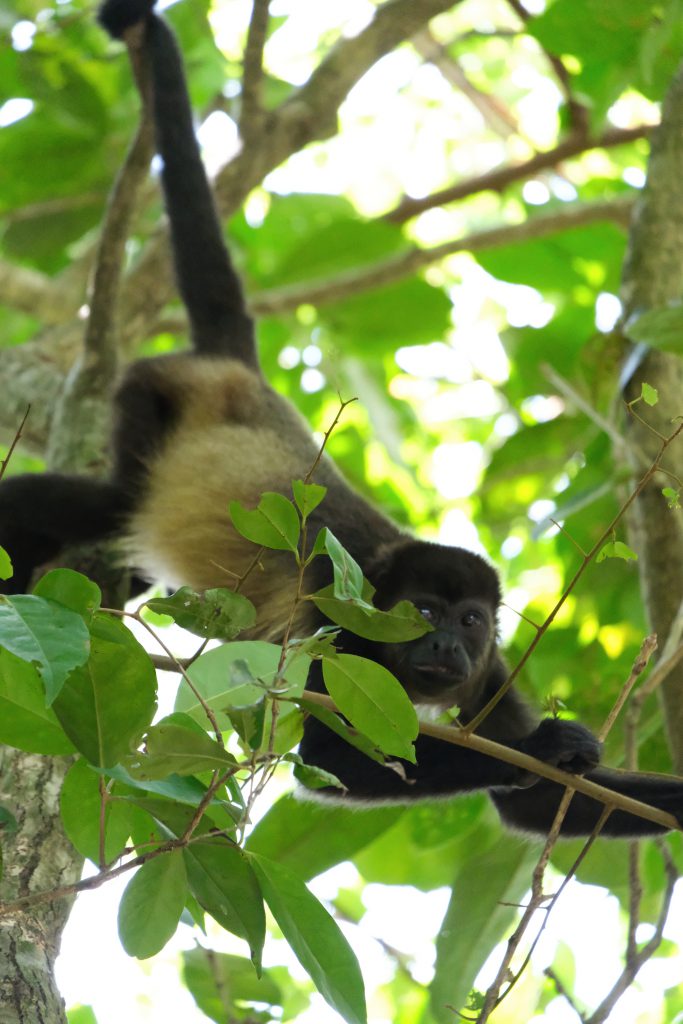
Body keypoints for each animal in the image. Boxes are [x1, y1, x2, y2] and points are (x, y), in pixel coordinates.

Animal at [1, 0, 683, 839]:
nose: (444, 646)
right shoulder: (345, 620)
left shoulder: (491, 673)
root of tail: (240, 373)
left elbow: (530, 802)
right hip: (150, 395)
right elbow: (333, 754)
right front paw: (550, 745)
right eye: (421, 611)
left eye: (470, 621)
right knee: (100, 502)